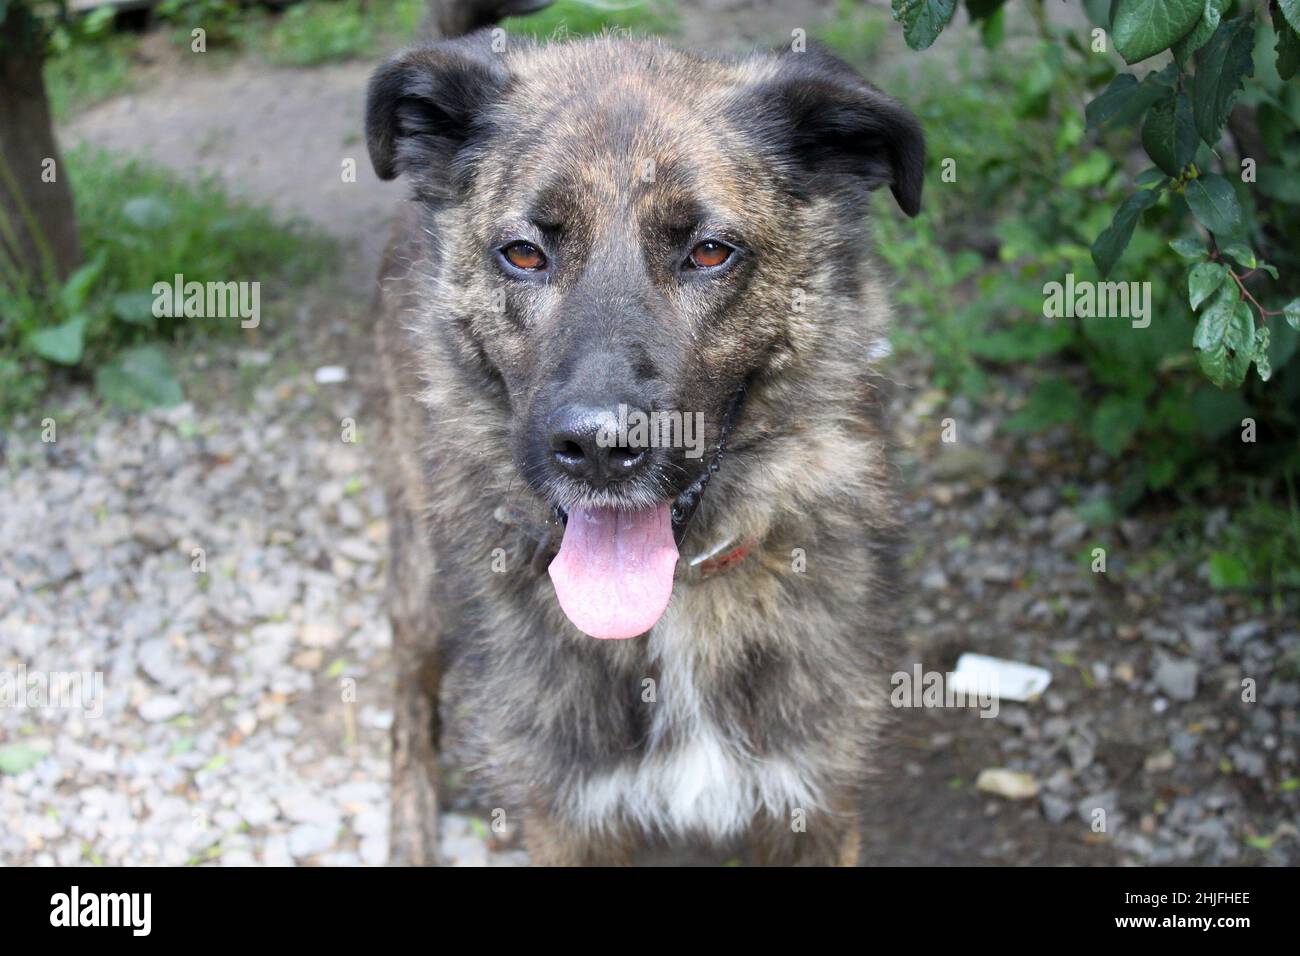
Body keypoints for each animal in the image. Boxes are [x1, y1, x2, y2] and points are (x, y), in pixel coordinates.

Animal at [366, 7, 925, 863]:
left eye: (710, 252)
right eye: (523, 252)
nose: (599, 448)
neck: (679, 600)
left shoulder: (814, 806)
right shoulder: (567, 817)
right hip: (420, 573)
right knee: (408, 702)